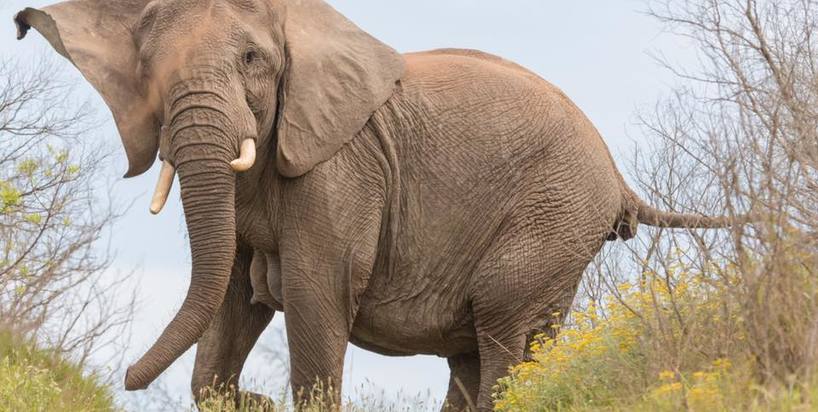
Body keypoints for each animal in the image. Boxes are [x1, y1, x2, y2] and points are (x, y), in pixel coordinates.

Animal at [15, 0, 739, 410]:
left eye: (251, 59)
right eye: (149, 72)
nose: (127, 378)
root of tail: (617, 176)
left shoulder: (337, 170)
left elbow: (315, 297)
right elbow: (232, 302)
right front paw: (240, 394)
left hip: (554, 219)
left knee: (504, 334)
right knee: (479, 356)